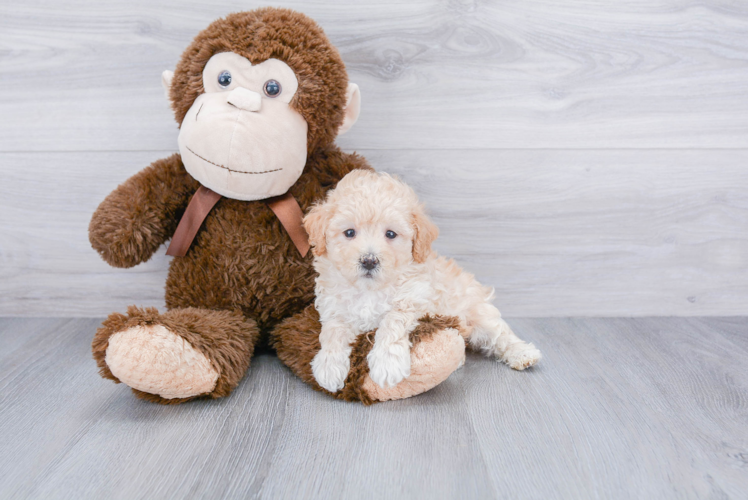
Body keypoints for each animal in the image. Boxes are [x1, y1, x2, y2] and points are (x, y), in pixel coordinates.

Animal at [300, 170, 540, 392]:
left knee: (500, 335)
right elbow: (332, 333)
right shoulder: (335, 310)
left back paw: (523, 353)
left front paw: (387, 364)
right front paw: (329, 367)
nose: (369, 260)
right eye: (349, 232)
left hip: (478, 312)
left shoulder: (414, 299)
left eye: (390, 234)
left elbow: (392, 321)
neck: (370, 289)